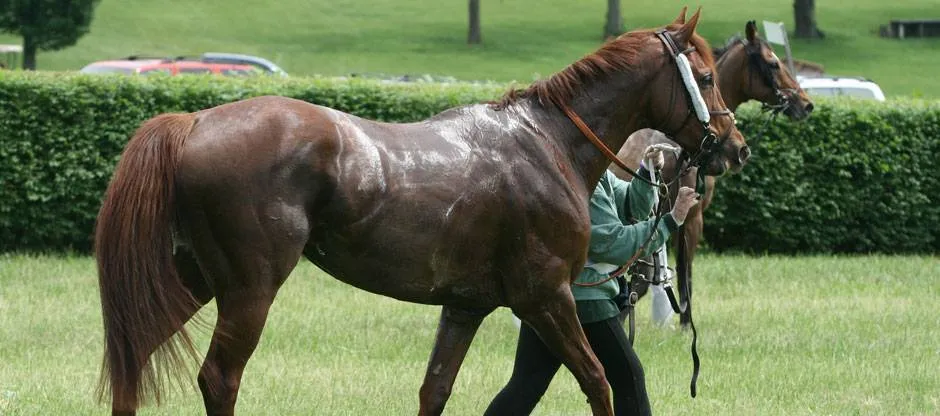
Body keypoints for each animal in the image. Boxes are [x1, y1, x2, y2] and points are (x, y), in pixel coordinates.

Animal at [94, 9, 746, 416]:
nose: (734, 147)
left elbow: (435, 391)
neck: (547, 143)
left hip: (193, 278)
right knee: (218, 377)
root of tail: (194, 121)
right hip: (249, 287)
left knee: (134, 353)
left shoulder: (465, 307)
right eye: (705, 76)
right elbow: (599, 382)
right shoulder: (546, 296)